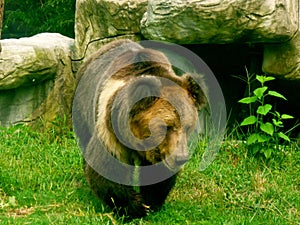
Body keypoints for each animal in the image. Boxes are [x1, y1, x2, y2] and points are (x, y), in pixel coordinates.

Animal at [72, 38, 207, 218]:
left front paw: (150, 202)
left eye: (188, 127)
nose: (181, 158)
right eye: (167, 126)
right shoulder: (111, 133)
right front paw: (134, 206)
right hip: (83, 106)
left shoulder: (160, 150)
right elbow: (108, 168)